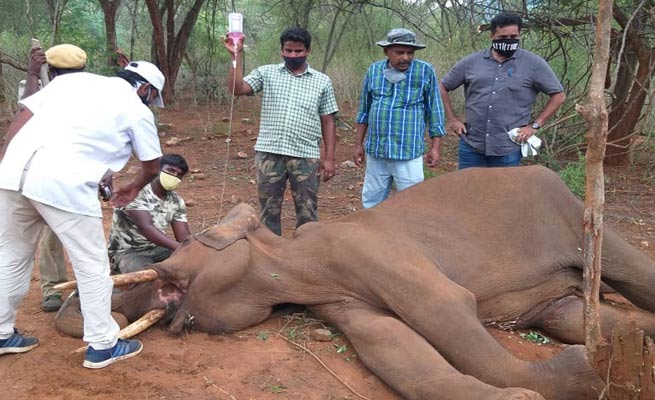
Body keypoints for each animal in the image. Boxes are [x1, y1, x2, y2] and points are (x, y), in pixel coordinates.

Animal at [56, 166, 655, 400]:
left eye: (177, 262)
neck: (292, 249)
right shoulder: (339, 298)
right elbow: (392, 348)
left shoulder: (371, 253)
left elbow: (445, 308)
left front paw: (576, 379)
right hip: (560, 292)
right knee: (575, 314)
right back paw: (631, 349)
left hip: (578, 216)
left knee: (632, 274)